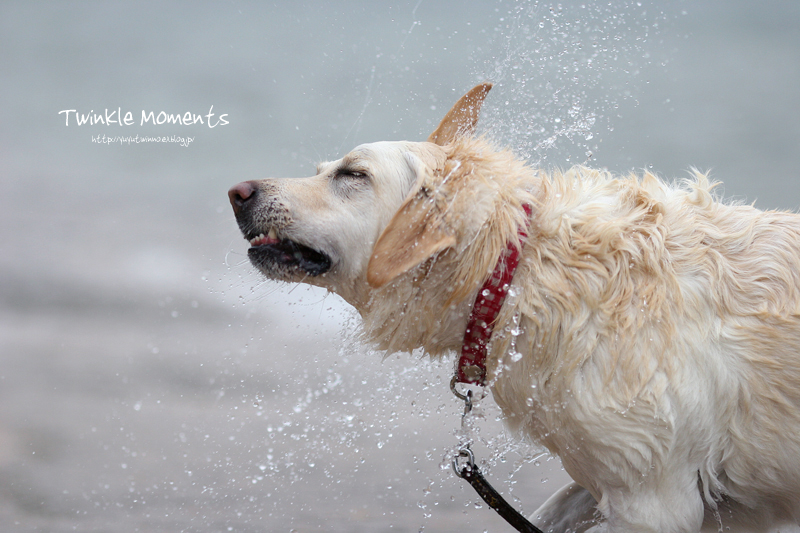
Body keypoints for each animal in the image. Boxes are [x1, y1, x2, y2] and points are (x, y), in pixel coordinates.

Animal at [230, 84, 800, 532]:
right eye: (322, 169)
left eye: (352, 174)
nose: (237, 191)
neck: (513, 273)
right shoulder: (601, 477)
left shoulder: (655, 499)